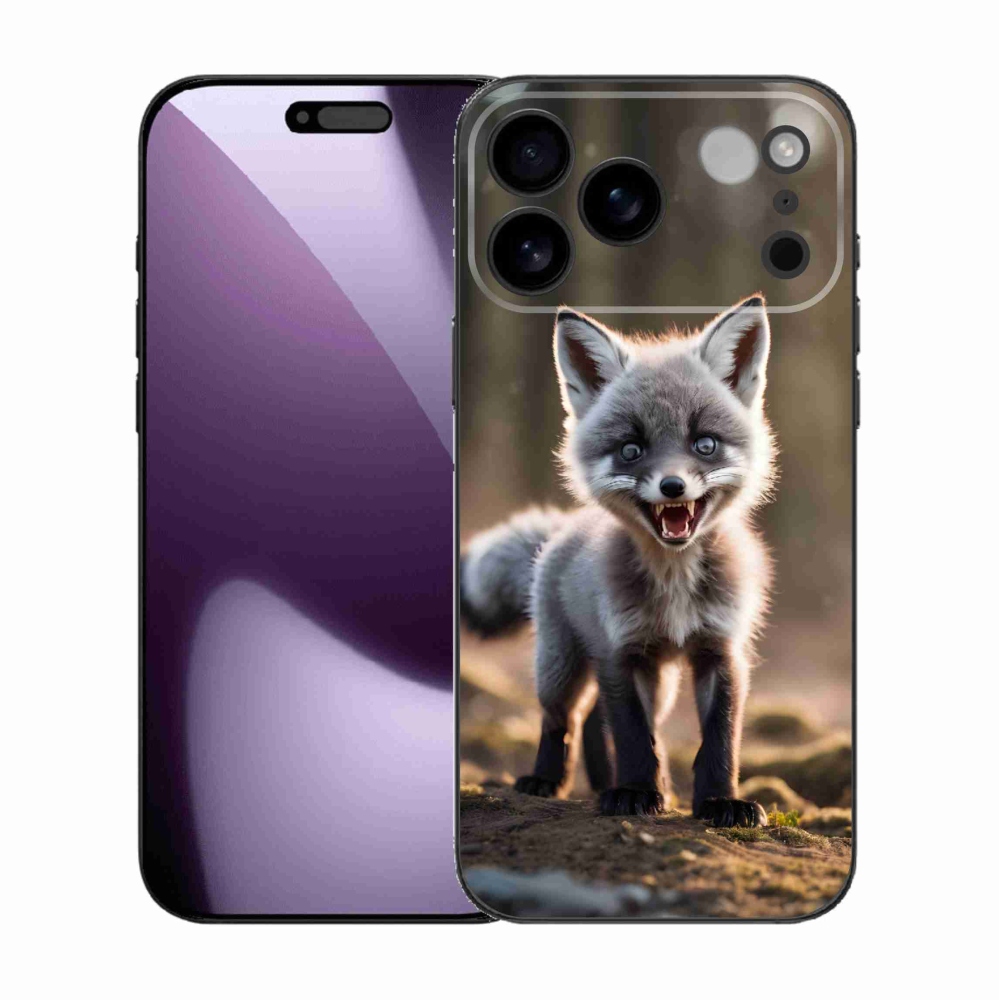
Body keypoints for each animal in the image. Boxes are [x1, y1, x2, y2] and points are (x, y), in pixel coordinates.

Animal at [460, 295, 777, 826]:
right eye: (631, 449)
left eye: (704, 444)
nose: (672, 486)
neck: (674, 584)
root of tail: (562, 530)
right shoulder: (620, 650)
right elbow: (632, 735)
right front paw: (634, 792)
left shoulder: (721, 650)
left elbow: (719, 740)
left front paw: (719, 801)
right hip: (561, 666)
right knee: (562, 718)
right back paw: (547, 779)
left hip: (660, 679)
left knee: (596, 720)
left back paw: (609, 781)